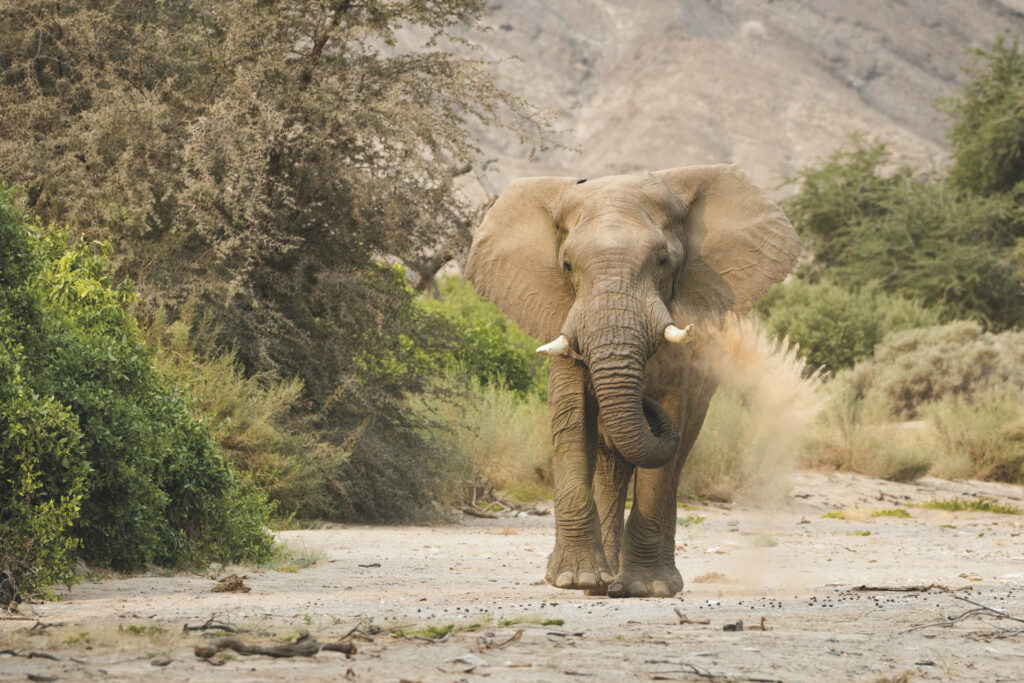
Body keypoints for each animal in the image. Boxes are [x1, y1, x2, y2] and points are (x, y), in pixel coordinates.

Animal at [464, 165, 798, 598]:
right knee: (610, 466)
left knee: (674, 459)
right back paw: (600, 584)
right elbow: (572, 418)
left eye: (663, 260)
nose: (643, 401)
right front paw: (573, 580)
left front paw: (645, 587)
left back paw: (644, 583)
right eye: (567, 265)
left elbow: (668, 428)